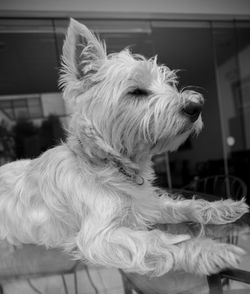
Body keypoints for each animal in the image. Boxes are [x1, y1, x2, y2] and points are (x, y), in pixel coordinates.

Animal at [0, 19, 248, 278]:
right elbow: (159, 240)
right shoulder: (99, 236)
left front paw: (225, 207)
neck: (110, 163)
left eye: (169, 84)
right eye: (136, 91)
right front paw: (212, 250)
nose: (196, 106)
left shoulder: (147, 204)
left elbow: (185, 204)